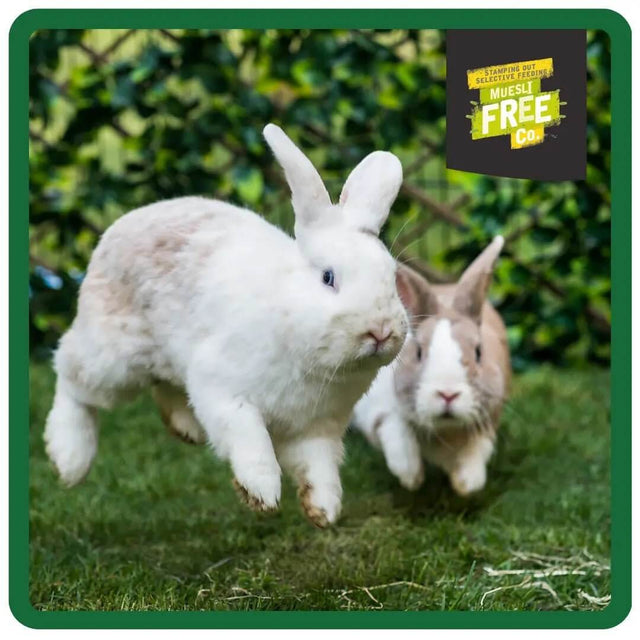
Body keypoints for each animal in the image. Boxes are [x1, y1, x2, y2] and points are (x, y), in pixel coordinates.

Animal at [44, 123, 410, 527]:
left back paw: (185, 427)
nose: (380, 331)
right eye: (328, 278)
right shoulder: (222, 390)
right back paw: (69, 458)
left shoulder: (317, 429)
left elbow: (318, 468)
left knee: (163, 385)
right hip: (112, 359)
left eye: (391, 276)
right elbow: (249, 439)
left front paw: (324, 511)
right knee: (71, 378)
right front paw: (261, 492)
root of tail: (117, 229)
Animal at [352, 236, 510, 496]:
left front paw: (466, 484)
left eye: (479, 352)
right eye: (418, 353)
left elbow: (476, 453)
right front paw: (411, 478)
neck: (444, 430)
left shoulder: (488, 420)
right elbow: (398, 434)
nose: (447, 394)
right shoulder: (378, 409)